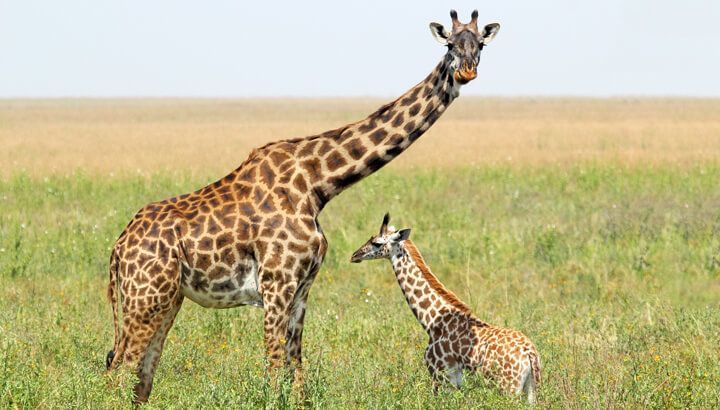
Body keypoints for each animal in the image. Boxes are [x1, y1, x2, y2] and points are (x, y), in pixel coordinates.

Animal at [105, 10, 500, 404]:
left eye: (479, 44)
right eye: (450, 45)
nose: (466, 72)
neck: (316, 184)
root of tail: (118, 248)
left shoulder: (302, 287)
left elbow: (296, 369)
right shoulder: (277, 283)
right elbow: (274, 365)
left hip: (166, 298)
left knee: (139, 375)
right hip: (146, 297)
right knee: (119, 369)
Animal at [348, 215, 540, 404]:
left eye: (377, 243)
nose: (354, 255)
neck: (431, 321)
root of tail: (530, 354)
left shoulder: (440, 375)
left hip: (507, 388)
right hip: (531, 390)